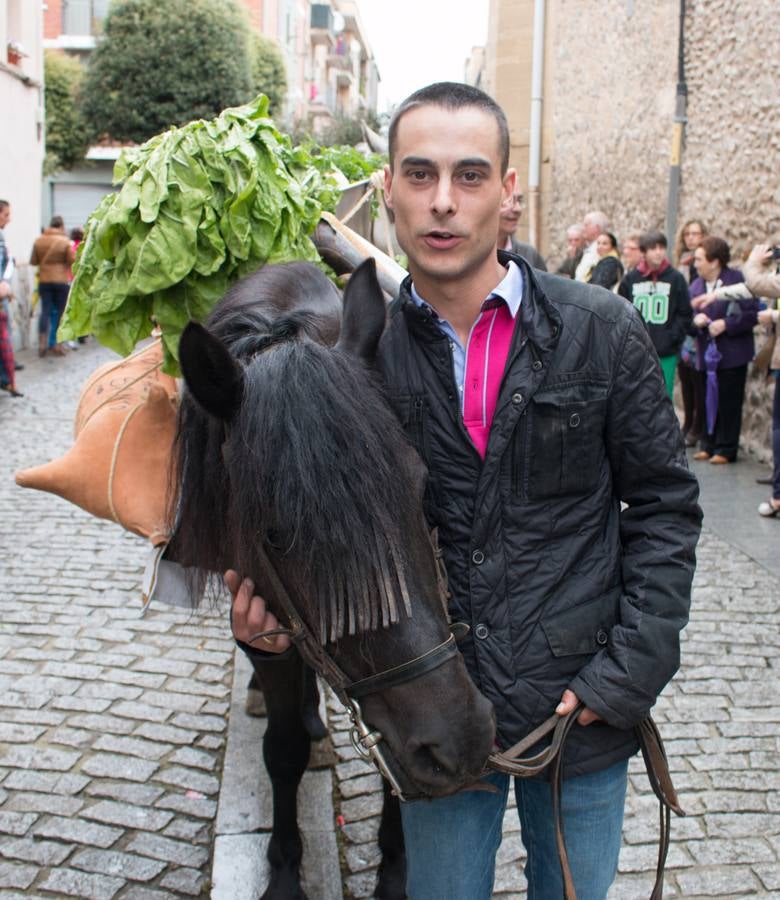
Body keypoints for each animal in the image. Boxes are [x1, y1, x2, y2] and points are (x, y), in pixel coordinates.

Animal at [169, 256, 494, 896]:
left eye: (422, 488)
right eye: (276, 534)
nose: (461, 741)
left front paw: (395, 871)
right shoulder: (263, 622)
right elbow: (284, 749)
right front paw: (284, 871)